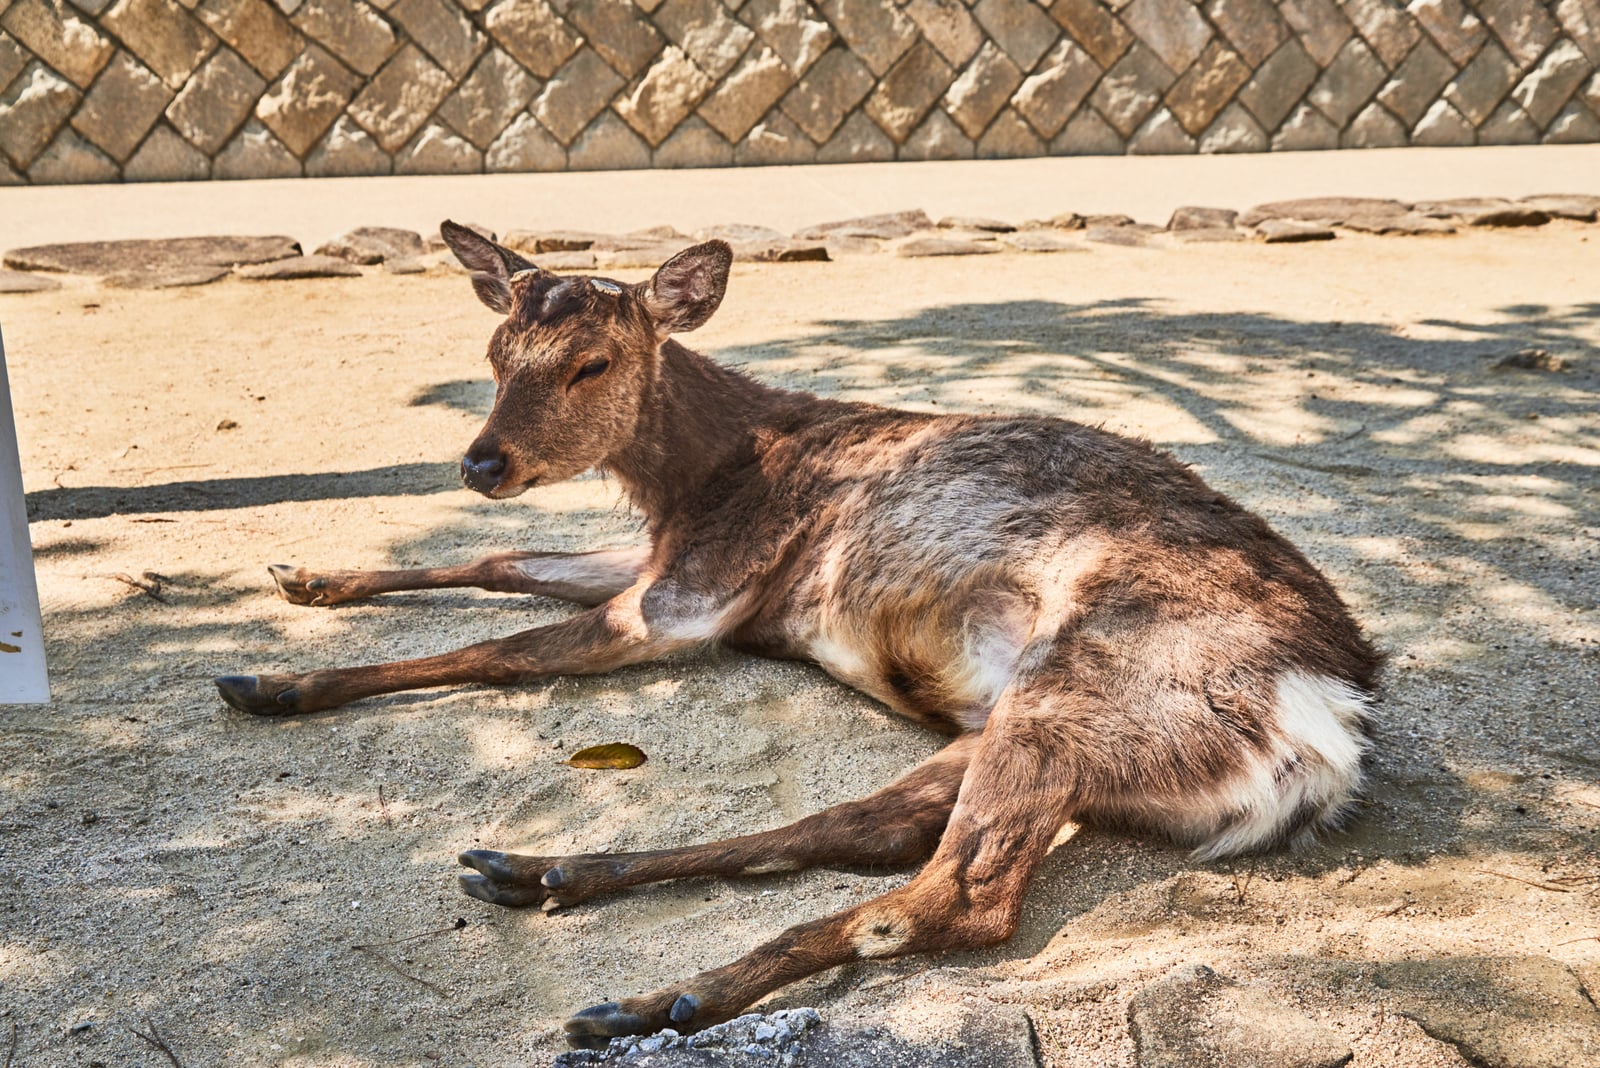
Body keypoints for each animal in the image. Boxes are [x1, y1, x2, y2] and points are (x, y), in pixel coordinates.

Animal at [214, 221, 1382, 1049]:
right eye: (496, 349)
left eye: (592, 362)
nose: (481, 463)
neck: (697, 477)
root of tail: (1326, 726)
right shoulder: (667, 563)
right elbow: (504, 561)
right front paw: (300, 577)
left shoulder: (688, 597)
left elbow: (494, 651)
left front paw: (275, 683)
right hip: (1027, 723)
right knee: (864, 828)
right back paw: (547, 879)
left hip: (1080, 687)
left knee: (951, 899)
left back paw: (652, 1001)